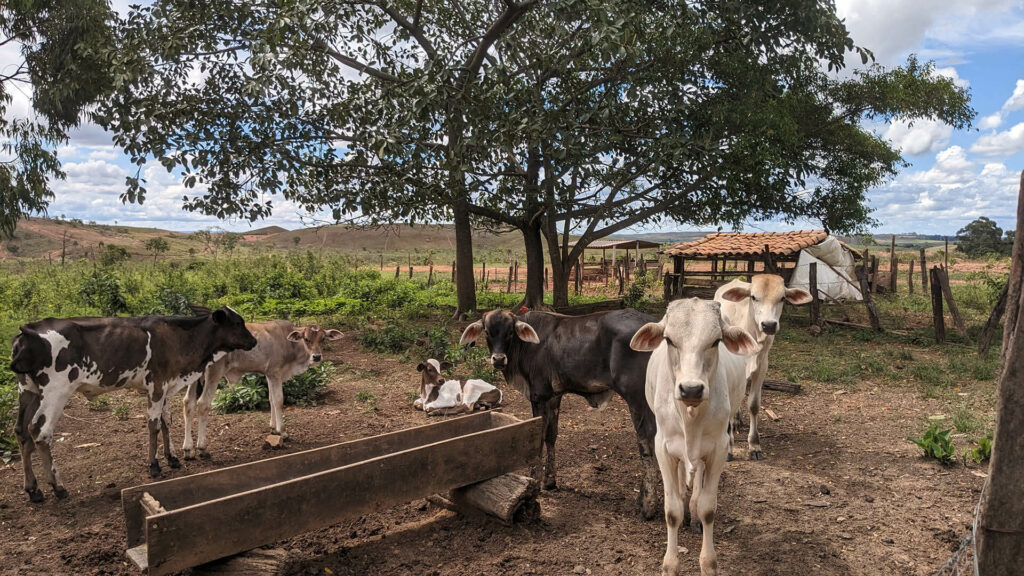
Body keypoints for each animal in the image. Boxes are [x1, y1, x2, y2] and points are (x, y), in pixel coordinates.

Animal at [9, 307, 256, 500]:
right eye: (237, 323)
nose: (254, 341)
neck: (179, 337)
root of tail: (28, 331)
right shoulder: (157, 385)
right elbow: (153, 425)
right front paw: (154, 466)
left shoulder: (166, 385)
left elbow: (166, 421)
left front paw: (172, 458)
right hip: (56, 391)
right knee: (39, 431)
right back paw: (57, 486)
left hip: (28, 391)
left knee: (21, 431)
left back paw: (33, 489)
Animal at [460, 307, 659, 518]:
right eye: (487, 331)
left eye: (510, 332)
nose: (498, 359)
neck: (524, 348)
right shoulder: (554, 396)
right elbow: (551, 435)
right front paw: (549, 481)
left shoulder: (538, 396)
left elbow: (539, 438)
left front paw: (535, 481)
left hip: (637, 398)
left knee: (646, 442)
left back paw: (647, 505)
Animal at [630, 297, 761, 569]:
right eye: (669, 340)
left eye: (716, 341)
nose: (691, 389)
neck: (690, 416)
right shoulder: (663, 447)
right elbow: (672, 512)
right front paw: (669, 565)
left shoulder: (719, 448)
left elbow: (708, 508)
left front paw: (708, 562)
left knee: (698, 473)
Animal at [716, 272, 811, 457]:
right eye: (753, 297)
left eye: (782, 298)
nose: (769, 325)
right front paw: (729, 447)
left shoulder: (762, 367)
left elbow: (753, 404)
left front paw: (754, 444)